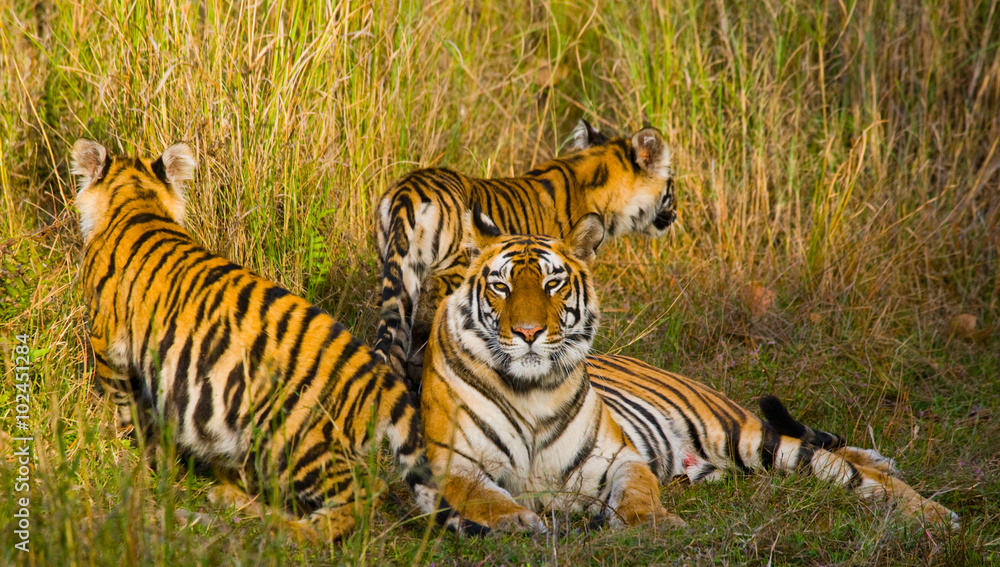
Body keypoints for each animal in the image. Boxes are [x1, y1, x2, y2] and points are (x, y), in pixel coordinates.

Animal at [71, 139, 471, 542]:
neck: (138, 201)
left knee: (361, 497)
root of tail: (383, 381)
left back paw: (286, 531)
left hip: (293, 441)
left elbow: (125, 404)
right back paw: (231, 501)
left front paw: (128, 450)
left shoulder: (108, 343)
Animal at [419, 207, 960, 532]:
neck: (530, 389)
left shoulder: (617, 458)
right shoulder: (452, 462)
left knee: (849, 470)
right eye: (502, 286)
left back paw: (932, 512)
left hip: (747, 437)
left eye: (553, 284)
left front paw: (654, 526)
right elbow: (482, 496)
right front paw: (520, 521)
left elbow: (638, 494)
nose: (529, 332)